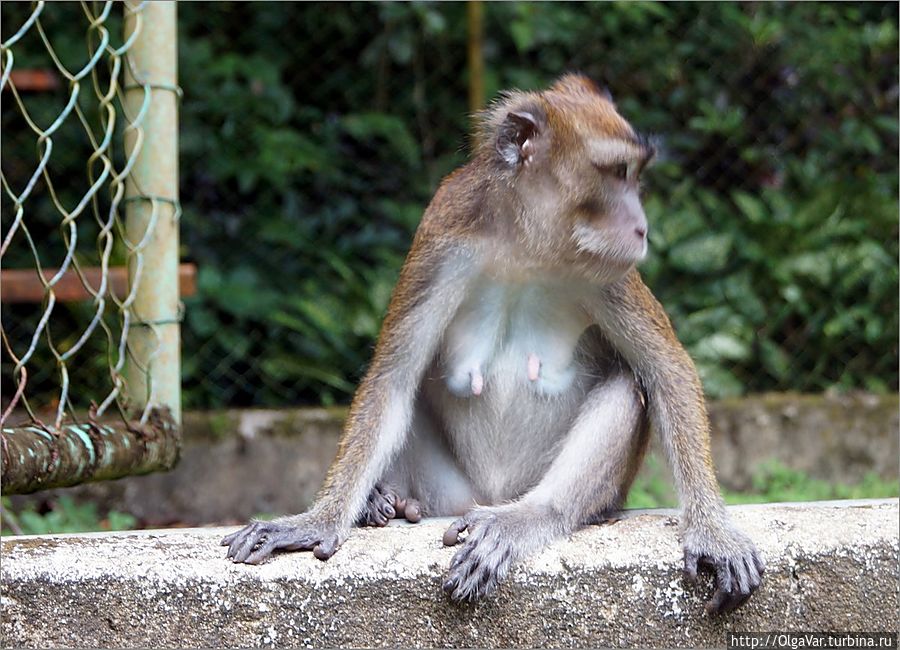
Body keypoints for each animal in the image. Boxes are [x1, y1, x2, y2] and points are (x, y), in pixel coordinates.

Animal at [221, 76, 764, 612]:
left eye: (633, 175)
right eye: (617, 173)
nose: (640, 226)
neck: (525, 243)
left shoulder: (609, 271)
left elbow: (666, 369)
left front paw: (712, 532)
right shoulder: (442, 241)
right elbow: (393, 379)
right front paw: (316, 520)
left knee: (627, 386)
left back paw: (527, 517)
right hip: (452, 495)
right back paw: (385, 501)